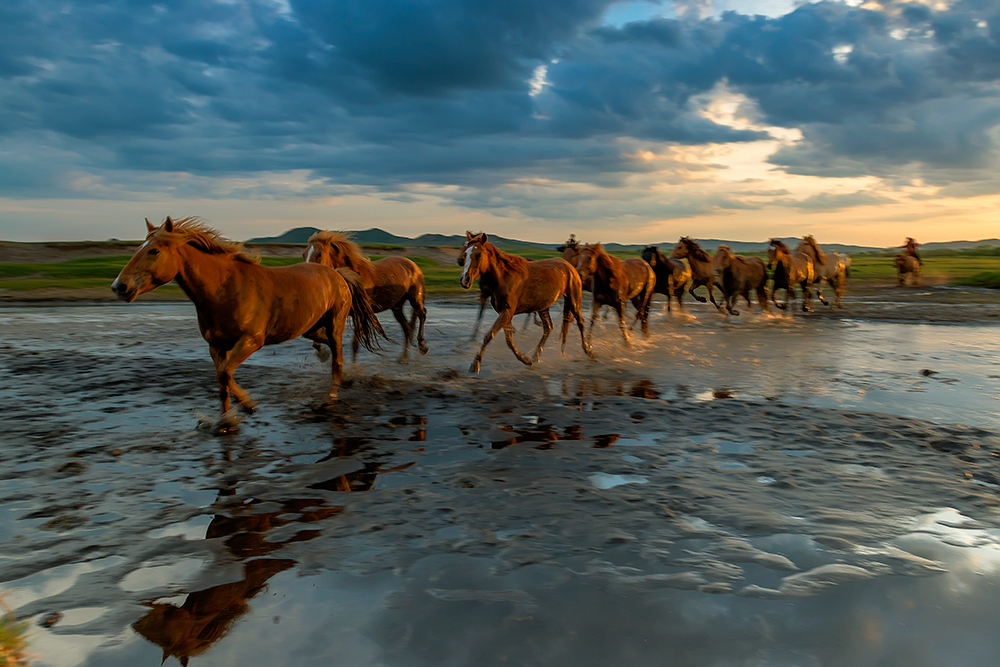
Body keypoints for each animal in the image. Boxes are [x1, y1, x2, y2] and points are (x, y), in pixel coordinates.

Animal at [110, 217, 386, 430]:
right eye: (138, 248)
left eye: (154, 251)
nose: (119, 286)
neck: (224, 289)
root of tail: (337, 273)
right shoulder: (216, 346)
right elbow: (222, 378)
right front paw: (226, 420)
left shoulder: (251, 341)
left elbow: (225, 374)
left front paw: (247, 406)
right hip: (308, 329)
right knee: (326, 348)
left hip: (334, 324)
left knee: (337, 362)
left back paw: (330, 399)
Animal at [304, 231, 430, 366]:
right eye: (304, 254)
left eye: (319, 254)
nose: (308, 278)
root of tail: (414, 266)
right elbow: (317, 336)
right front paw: (323, 354)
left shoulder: (359, 314)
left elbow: (354, 344)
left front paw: (353, 367)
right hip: (396, 307)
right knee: (406, 328)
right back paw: (404, 357)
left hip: (415, 298)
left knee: (422, 314)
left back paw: (422, 346)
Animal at [458, 232, 592, 374]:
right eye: (465, 254)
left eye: (478, 254)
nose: (464, 280)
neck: (504, 277)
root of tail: (571, 267)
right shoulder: (504, 313)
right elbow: (509, 341)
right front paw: (526, 360)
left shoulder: (507, 312)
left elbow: (489, 335)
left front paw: (475, 364)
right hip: (543, 307)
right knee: (548, 327)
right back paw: (535, 356)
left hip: (574, 301)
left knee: (580, 322)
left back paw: (588, 349)